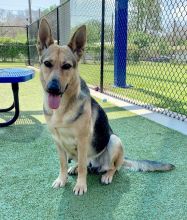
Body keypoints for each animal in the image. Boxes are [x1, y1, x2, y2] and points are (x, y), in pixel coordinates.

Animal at [37, 18, 175, 195]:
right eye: (47, 64)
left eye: (66, 66)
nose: (53, 88)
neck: (62, 109)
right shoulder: (58, 141)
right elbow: (62, 163)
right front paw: (62, 179)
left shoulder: (82, 140)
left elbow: (83, 168)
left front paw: (80, 185)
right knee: (83, 164)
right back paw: (74, 168)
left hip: (115, 141)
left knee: (111, 167)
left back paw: (106, 175)